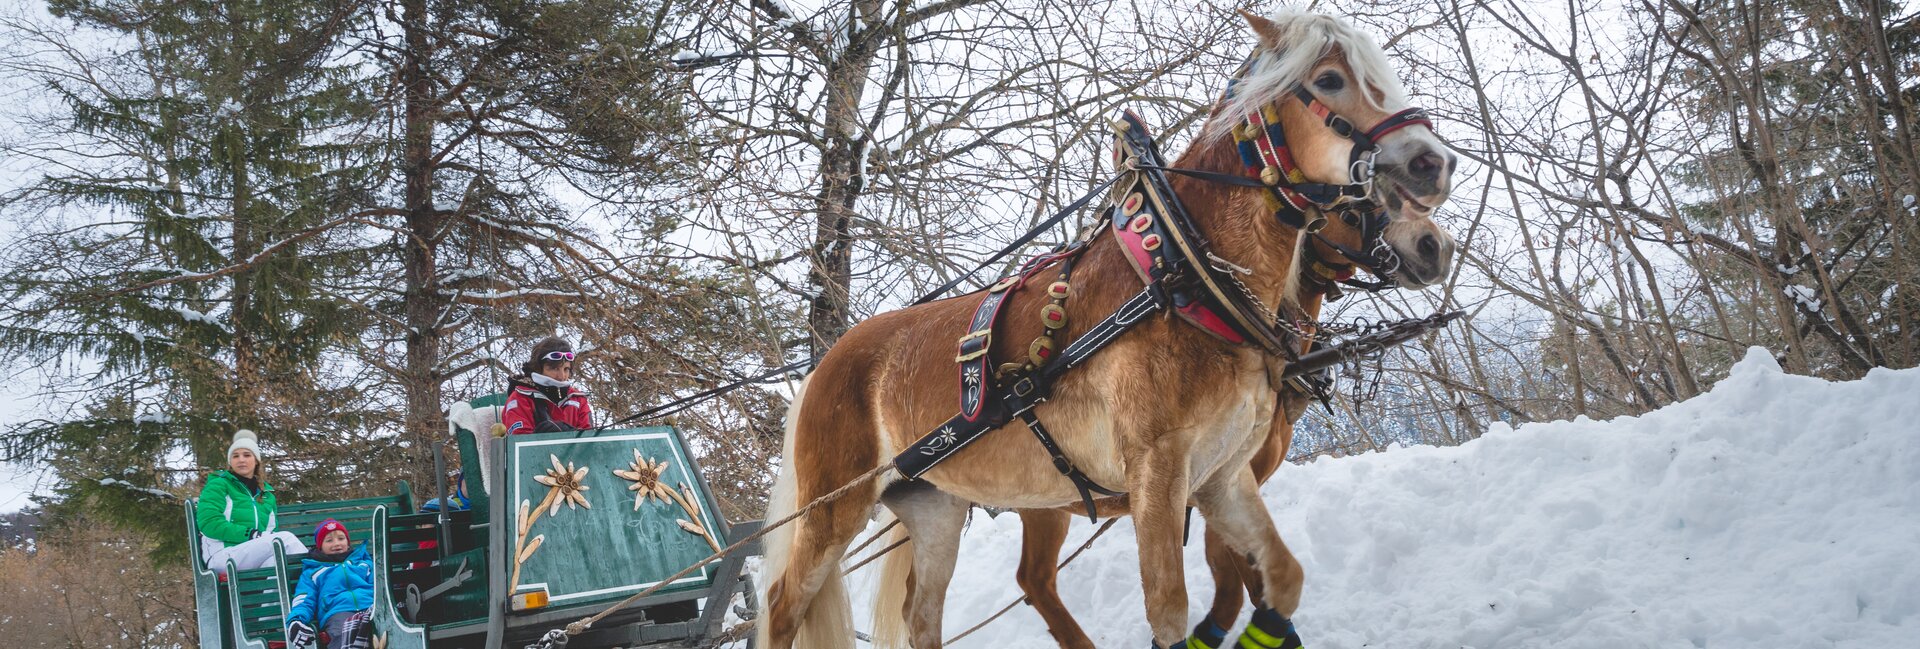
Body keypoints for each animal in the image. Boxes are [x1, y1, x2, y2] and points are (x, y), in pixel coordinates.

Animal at [758, 9, 1457, 649]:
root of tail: (825, 364)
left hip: (935, 506)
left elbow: (1280, 577)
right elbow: (1173, 608)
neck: (1184, 275)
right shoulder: (1158, 470)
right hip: (835, 508)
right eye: (1331, 79)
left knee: (921, 615)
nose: (1434, 165)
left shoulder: (1222, 476)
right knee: (785, 602)